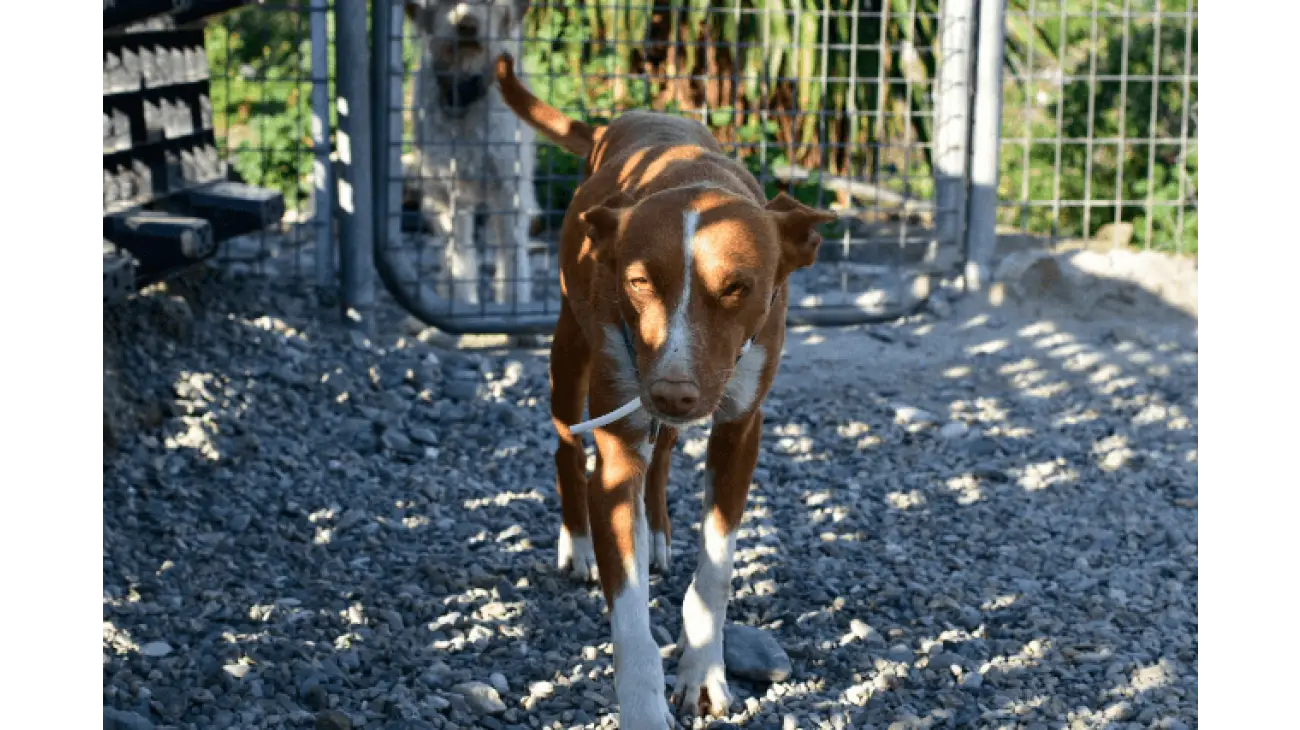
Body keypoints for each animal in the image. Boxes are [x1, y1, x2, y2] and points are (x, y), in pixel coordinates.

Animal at [491, 53, 837, 722]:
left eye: (738, 287)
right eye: (638, 282)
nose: (673, 392)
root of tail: (619, 121)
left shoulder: (740, 428)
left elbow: (716, 572)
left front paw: (703, 669)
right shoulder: (619, 445)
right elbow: (629, 621)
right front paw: (646, 709)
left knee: (667, 454)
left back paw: (655, 530)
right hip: (570, 352)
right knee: (567, 448)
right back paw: (577, 542)